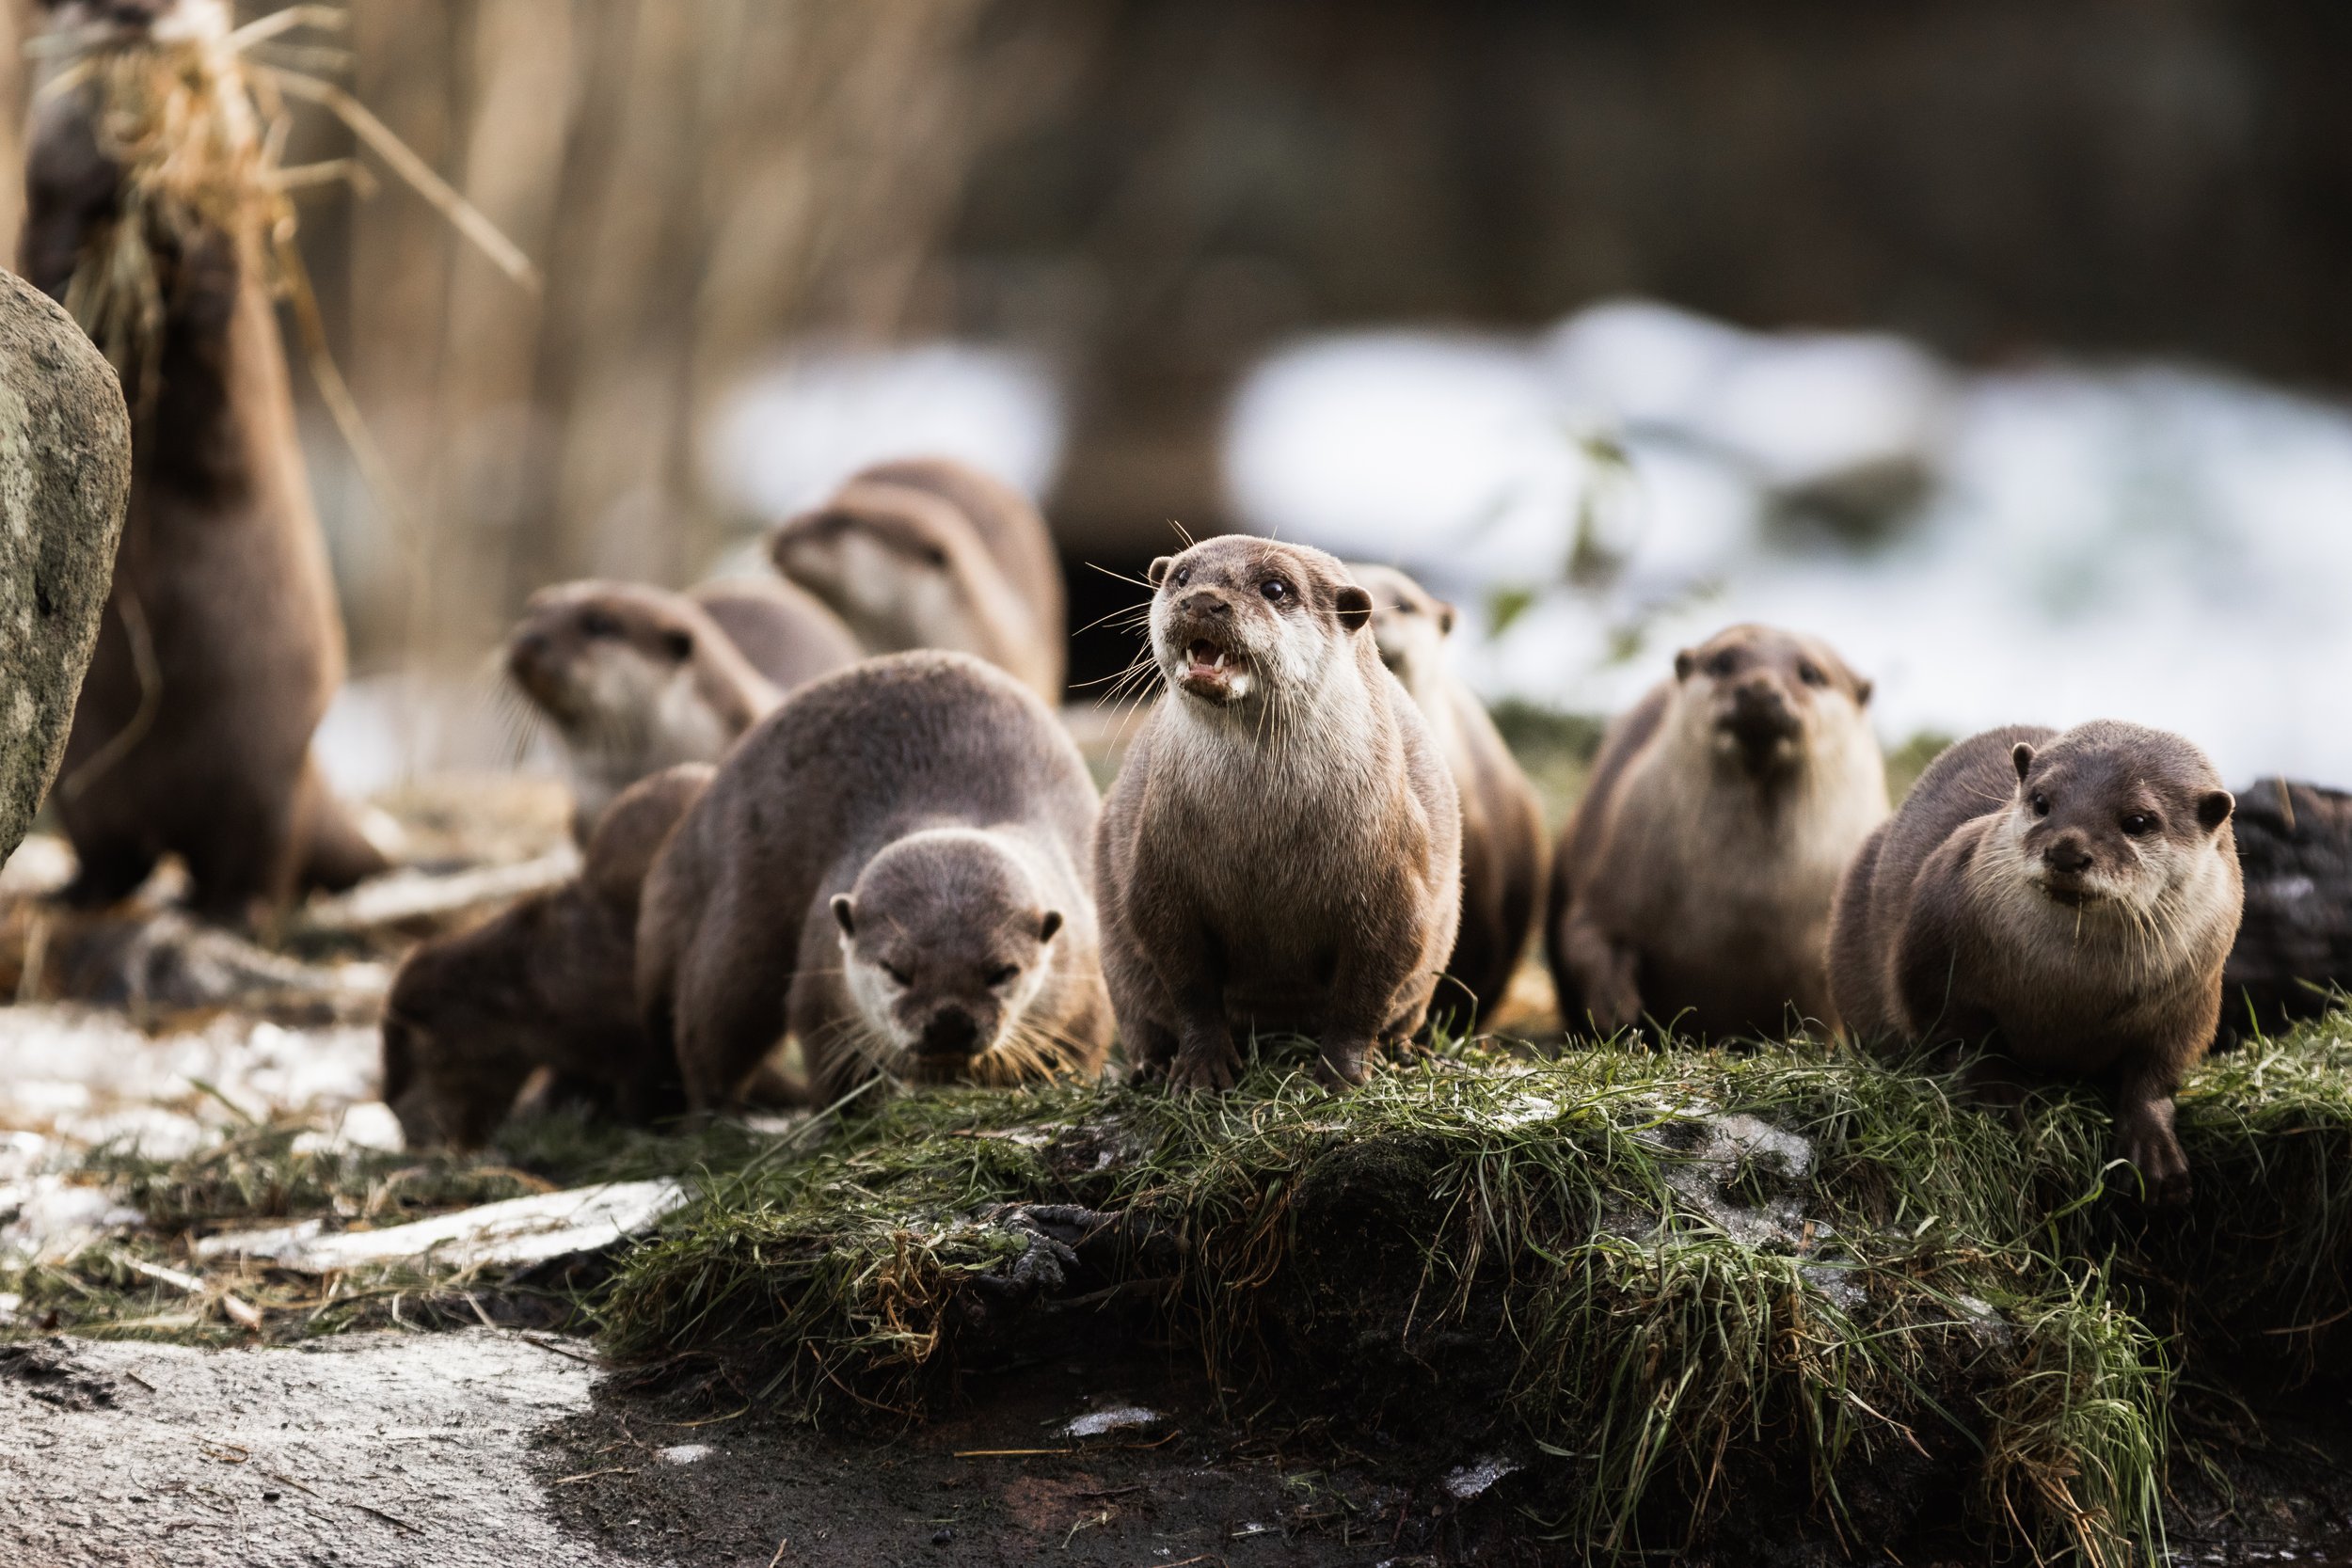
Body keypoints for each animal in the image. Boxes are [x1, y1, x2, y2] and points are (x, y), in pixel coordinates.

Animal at [24, 0, 387, 920]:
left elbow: (219, 345)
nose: (138, 13)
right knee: (117, 855)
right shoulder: (43, 206)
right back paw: (77, 894)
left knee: (257, 860)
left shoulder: (237, 305)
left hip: (265, 769)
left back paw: (228, 908)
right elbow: (56, 259)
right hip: (80, 784)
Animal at [638, 651, 1109, 1110]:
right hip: (741, 921)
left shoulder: (1085, 989)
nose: (950, 1022)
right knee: (709, 1028)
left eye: (1002, 972)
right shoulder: (822, 989)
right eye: (895, 969)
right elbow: (833, 1073)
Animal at [1096, 537, 1461, 1090]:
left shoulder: (1396, 888)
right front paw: (1201, 1071)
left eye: (1275, 587)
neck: (1263, 836)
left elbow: (1364, 995)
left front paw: (1341, 1075)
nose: (1203, 600)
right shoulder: (1159, 876)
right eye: (1180, 577)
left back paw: (1407, 1051)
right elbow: (1188, 984)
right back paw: (1149, 1066)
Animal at [1546, 624, 1886, 1041]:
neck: (1745, 901)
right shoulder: (1605, 884)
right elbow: (1586, 937)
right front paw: (1616, 1010)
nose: (1759, 688)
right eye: (1723, 661)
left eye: (1810, 673)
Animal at [1827, 722, 2242, 1203]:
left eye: (2138, 822)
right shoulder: (1934, 949)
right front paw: (1995, 1099)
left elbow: (2158, 1071)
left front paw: (2153, 1151)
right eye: (2042, 802)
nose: (2066, 851)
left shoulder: (2192, 995)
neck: (2075, 986)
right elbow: (1961, 1033)